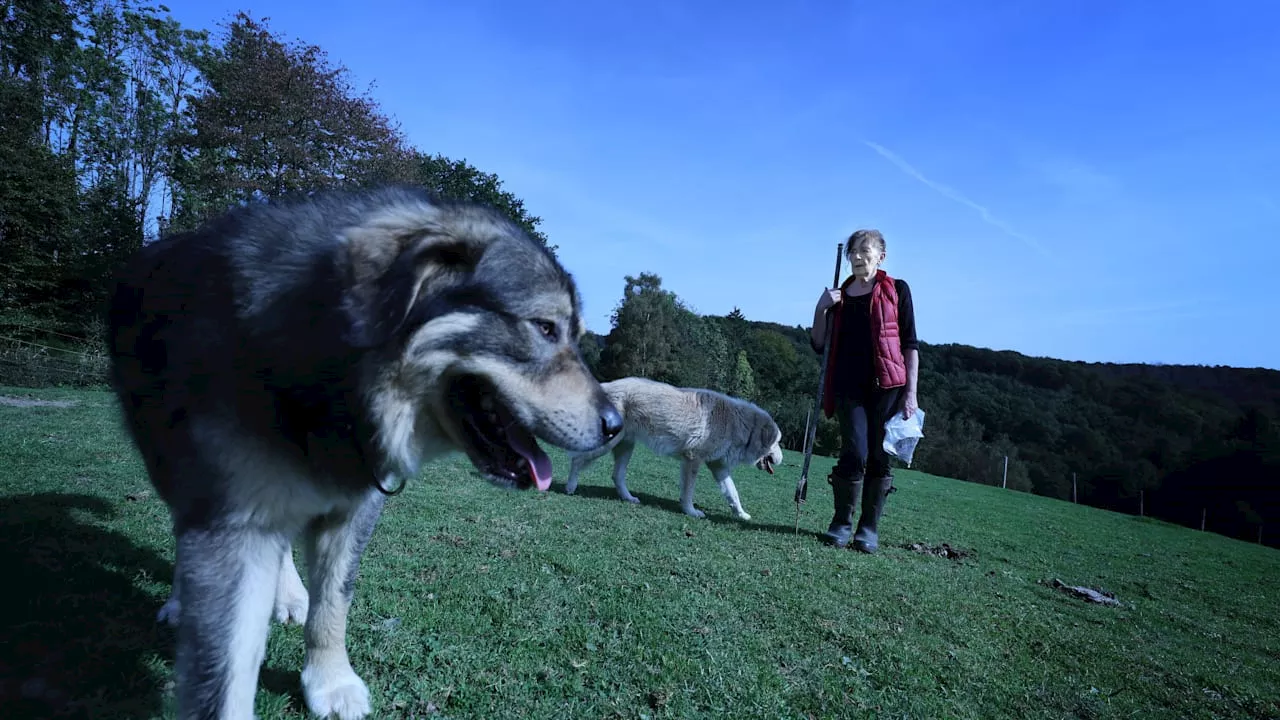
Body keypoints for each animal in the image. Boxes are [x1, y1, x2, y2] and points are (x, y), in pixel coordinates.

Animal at [106, 185, 624, 717]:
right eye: (544, 328)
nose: (616, 426)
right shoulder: (232, 525)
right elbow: (223, 677)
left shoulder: (356, 508)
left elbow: (333, 602)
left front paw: (329, 681)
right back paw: (180, 601)